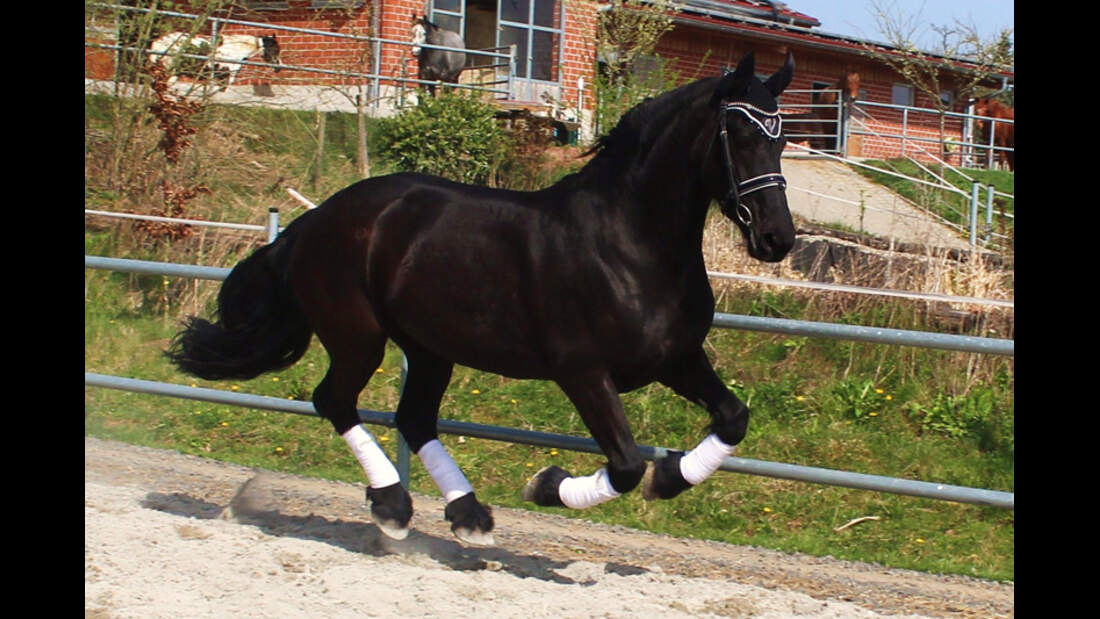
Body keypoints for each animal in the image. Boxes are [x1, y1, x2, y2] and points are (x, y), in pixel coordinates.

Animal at [166, 51, 797, 546]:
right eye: (741, 135)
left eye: (783, 137)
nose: (777, 239)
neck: (627, 245)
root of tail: (316, 219)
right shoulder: (583, 371)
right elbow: (623, 465)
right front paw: (546, 485)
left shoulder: (676, 358)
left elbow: (733, 419)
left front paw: (669, 477)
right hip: (358, 337)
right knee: (335, 402)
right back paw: (393, 507)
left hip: (428, 348)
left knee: (413, 419)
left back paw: (467, 516)